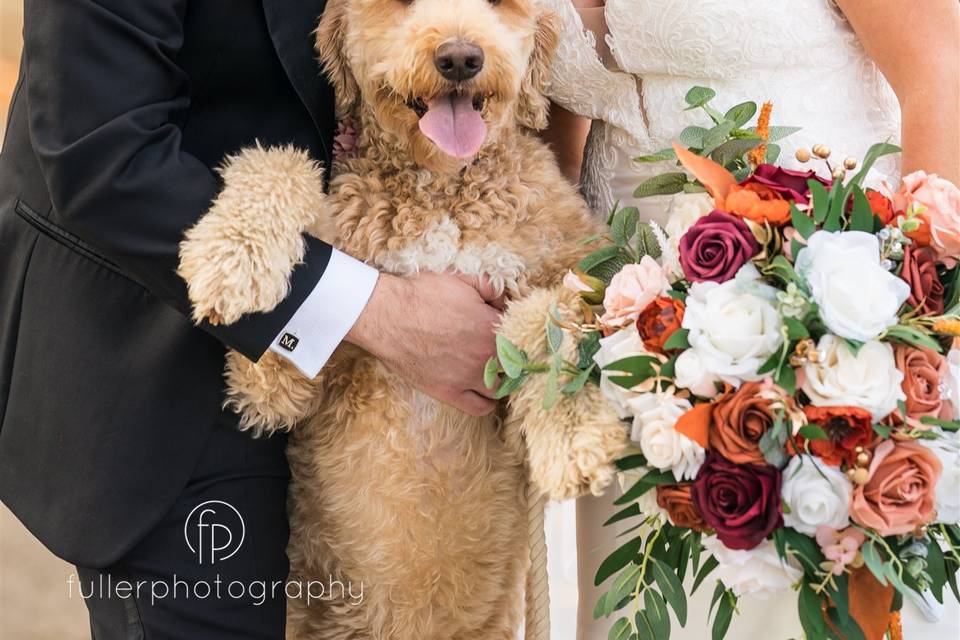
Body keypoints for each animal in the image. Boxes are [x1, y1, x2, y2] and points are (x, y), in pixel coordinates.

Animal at [178, 0, 632, 636]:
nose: (461, 58)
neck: (441, 186)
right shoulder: (278, 385)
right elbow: (278, 163)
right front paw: (229, 259)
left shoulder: (586, 264)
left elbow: (550, 315)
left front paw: (573, 437)